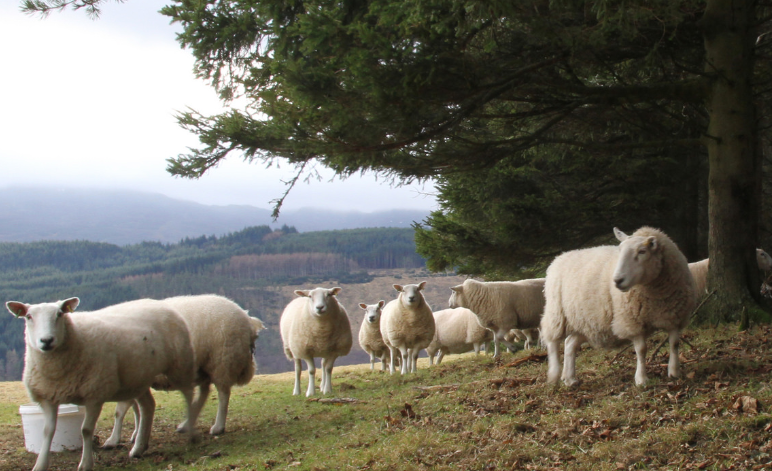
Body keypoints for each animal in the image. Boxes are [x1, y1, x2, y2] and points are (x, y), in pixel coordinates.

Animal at [5, 298, 196, 471]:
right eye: (28, 316)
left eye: (60, 314)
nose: (46, 340)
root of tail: (159, 303)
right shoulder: (48, 397)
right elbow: (47, 431)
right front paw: (40, 465)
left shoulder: (94, 394)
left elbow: (86, 430)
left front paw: (85, 464)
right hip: (139, 378)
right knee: (148, 406)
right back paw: (139, 448)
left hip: (180, 364)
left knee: (189, 394)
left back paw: (190, 431)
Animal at [104, 296, 265, 448]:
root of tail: (247, 319)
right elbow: (135, 410)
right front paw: (136, 434)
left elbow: (120, 411)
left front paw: (113, 440)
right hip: (203, 366)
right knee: (204, 393)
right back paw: (187, 423)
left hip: (222, 361)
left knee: (223, 394)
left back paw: (218, 426)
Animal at [541, 226, 696, 388]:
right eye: (620, 250)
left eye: (642, 251)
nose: (617, 280)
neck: (656, 295)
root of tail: (560, 257)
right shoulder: (632, 321)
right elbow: (641, 349)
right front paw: (641, 379)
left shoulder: (675, 316)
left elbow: (674, 344)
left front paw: (674, 372)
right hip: (556, 312)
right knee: (552, 341)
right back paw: (554, 374)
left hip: (585, 322)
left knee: (569, 343)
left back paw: (570, 378)